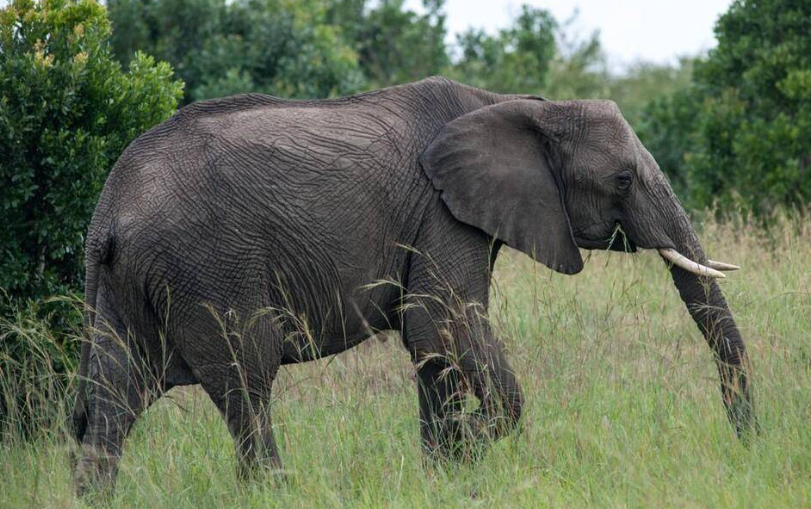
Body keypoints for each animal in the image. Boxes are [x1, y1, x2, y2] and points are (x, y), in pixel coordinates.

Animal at [70, 75, 756, 492]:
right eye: (622, 180)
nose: (746, 446)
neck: (521, 105)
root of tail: (109, 213)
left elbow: (430, 344)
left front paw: (445, 470)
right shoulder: (442, 213)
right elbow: (442, 321)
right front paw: (467, 445)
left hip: (122, 288)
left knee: (113, 398)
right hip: (209, 268)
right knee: (247, 384)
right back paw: (274, 490)